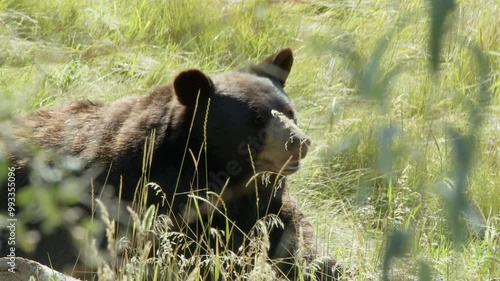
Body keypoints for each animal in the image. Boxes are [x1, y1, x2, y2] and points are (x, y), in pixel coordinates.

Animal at [0, 48, 342, 278]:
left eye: (289, 112)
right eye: (256, 119)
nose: (299, 143)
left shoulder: (265, 196)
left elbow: (294, 235)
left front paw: (325, 266)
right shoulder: (143, 195)